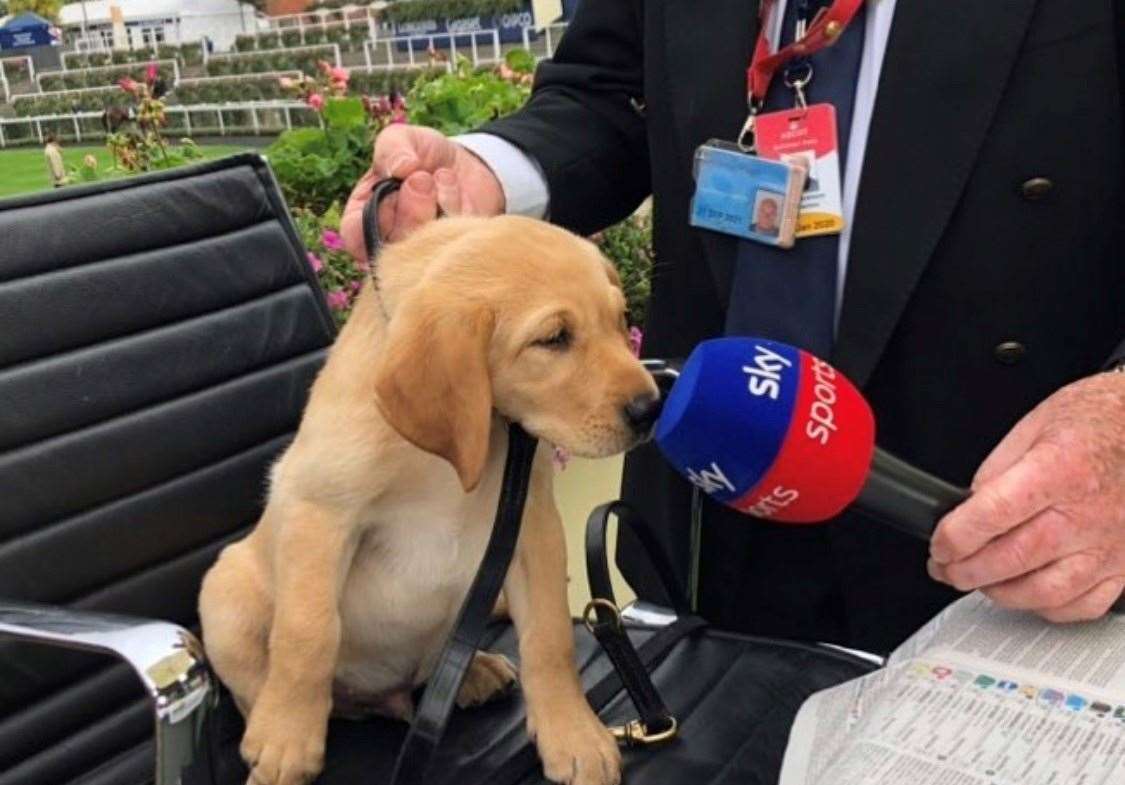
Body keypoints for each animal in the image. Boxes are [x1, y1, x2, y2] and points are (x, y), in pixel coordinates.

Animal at [199, 213, 661, 782]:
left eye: (622, 320)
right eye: (554, 338)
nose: (652, 408)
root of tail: (386, 699)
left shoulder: (531, 526)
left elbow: (550, 638)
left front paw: (574, 736)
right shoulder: (320, 513)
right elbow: (308, 632)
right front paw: (286, 740)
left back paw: (473, 672)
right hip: (225, 592)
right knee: (259, 682)